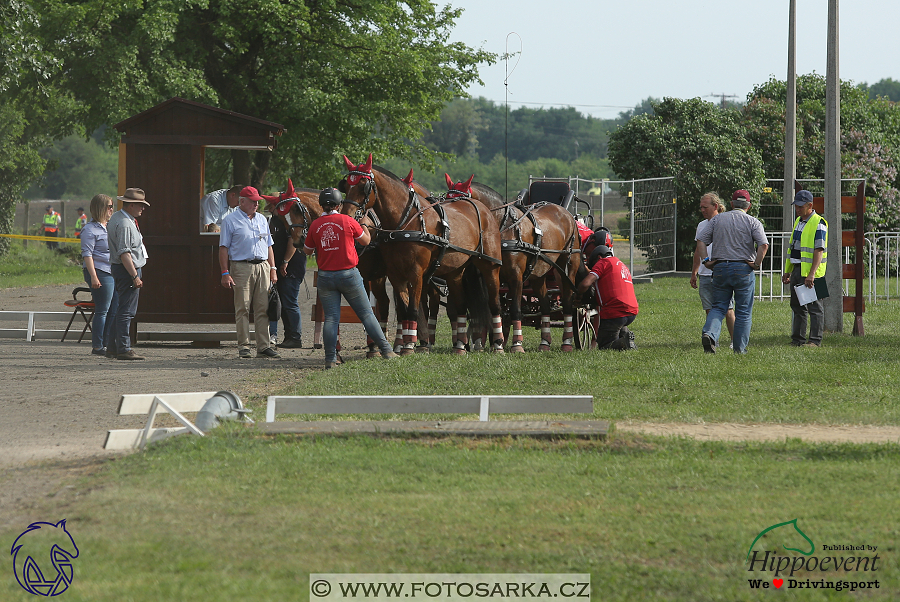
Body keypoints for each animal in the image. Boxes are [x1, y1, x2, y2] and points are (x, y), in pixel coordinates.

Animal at [340, 155, 506, 352]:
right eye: (345, 186)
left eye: (363, 185)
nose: (347, 215)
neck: (404, 224)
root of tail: (484, 210)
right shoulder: (395, 274)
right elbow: (405, 310)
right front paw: (408, 343)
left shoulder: (416, 273)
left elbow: (414, 309)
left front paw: (411, 345)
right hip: (456, 271)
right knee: (460, 305)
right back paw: (460, 345)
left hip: (490, 266)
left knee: (494, 303)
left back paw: (498, 343)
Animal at [450, 172, 584, 352]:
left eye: (459, 202)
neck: (502, 226)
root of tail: (567, 214)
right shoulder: (490, 275)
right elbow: (493, 307)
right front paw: (495, 342)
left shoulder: (516, 276)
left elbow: (515, 309)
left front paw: (517, 345)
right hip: (538, 274)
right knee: (545, 305)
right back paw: (544, 343)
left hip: (568, 268)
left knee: (569, 302)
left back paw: (567, 343)